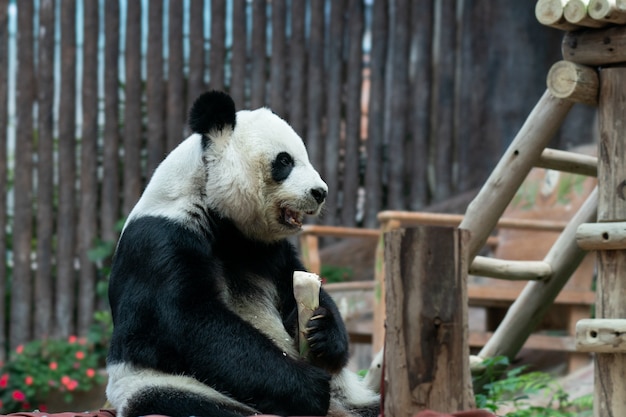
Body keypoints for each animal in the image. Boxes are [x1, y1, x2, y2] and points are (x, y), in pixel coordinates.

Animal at [105, 91, 378, 416]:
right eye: (284, 161)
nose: (320, 192)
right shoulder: (162, 240)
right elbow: (190, 322)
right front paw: (308, 386)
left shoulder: (266, 248)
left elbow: (291, 286)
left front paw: (324, 331)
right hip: (159, 384)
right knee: (196, 402)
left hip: (352, 394)